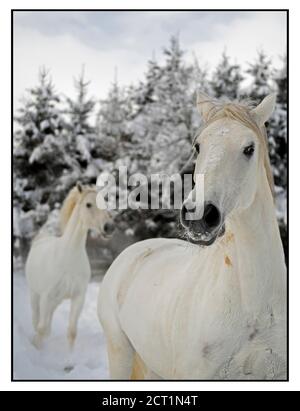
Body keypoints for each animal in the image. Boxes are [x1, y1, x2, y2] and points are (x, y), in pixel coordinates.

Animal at [25, 185, 115, 350]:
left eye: (105, 202)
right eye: (88, 204)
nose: (109, 227)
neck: (68, 257)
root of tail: (41, 238)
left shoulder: (78, 297)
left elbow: (72, 332)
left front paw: (69, 355)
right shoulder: (46, 297)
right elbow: (41, 329)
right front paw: (38, 349)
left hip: (56, 300)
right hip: (35, 294)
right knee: (36, 320)